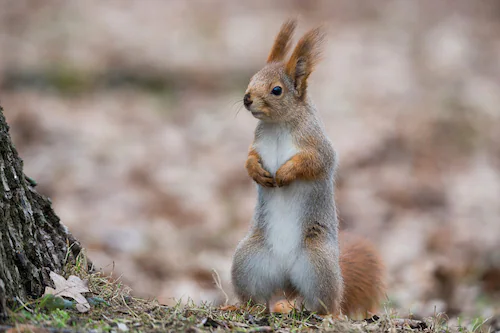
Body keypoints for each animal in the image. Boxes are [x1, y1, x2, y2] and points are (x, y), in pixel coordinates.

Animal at [230, 18, 386, 316]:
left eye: (276, 90)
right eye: (252, 78)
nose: (246, 98)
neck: (278, 125)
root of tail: (286, 279)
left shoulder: (318, 145)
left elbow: (315, 162)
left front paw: (286, 173)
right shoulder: (257, 144)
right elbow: (249, 157)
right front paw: (256, 171)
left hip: (317, 264)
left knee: (325, 302)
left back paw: (327, 314)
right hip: (248, 262)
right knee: (255, 297)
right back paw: (240, 307)